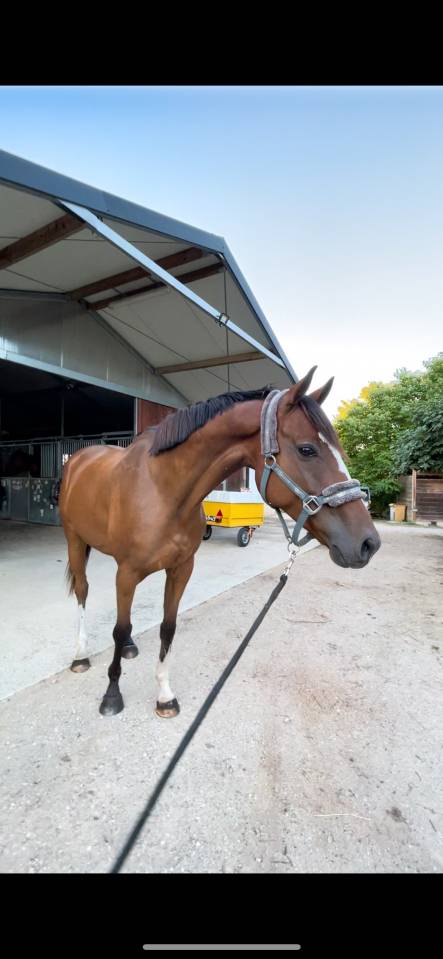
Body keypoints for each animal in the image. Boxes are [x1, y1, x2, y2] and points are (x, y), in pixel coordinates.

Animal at [59, 367, 381, 718]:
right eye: (307, 449)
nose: (368, 543)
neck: (163, 490)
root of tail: (78, 458)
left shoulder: (180, 569)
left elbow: (166, 628)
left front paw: (165, 696)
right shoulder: (127, 571)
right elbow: (117, 629)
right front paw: (112, 695)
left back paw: (129, 647)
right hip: (75, 542)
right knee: (83, 591)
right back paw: (80, 655)